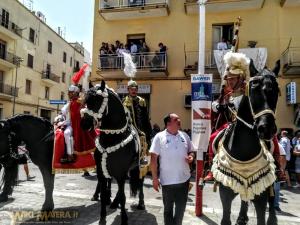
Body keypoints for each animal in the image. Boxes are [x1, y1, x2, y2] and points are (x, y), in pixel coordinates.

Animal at [81, 81, 142, 225]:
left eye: (98, 100)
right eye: (86, 100)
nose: (84, 123)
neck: (113, 137)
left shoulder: (121, 173)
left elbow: (123, 195)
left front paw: (124, 219)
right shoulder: (101, 171)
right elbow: (104, 195)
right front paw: (102, 217)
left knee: (140, 184)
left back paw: (140, 204)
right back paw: (114, 202)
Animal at [212, 61, 280, 225]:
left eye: (276, 90)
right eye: (254, 87)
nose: (266, 128)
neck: (244, 153)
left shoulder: (261, 195)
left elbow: (262, 214)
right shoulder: (226, 193)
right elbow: (226, 217)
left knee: (272, 197)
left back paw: (271, 218)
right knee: (244, 197)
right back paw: (242, 217)